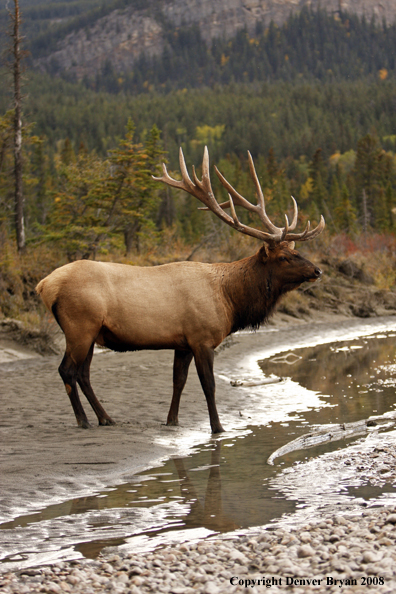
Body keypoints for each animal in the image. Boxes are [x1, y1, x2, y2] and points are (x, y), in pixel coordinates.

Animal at [35, 146, 324, 432]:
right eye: (284, 257)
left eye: (295, 251)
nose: (317, 271)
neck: (230, 300)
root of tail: (44, 285)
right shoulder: (202, 338)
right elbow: (208, 385)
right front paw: (218, 428)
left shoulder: (183, 342)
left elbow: (178, 381)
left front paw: (172, 419)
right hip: (80, 326)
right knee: (67, 370)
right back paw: (83, 420)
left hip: (93, 332)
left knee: (83, 374)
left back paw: (105, 418)